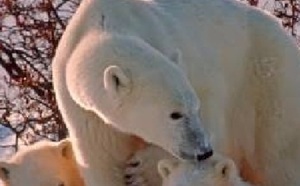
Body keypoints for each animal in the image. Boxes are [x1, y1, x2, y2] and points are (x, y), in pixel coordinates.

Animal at [52, 0, 300, 185]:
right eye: (175, 114)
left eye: (195, 108)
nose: (204, 152)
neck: (103, 24)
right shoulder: (85, 114)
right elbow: (103, 161)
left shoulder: (185, 58)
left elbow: (213, 112)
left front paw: (142, 169)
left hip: (268, 81)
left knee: (280, 156)